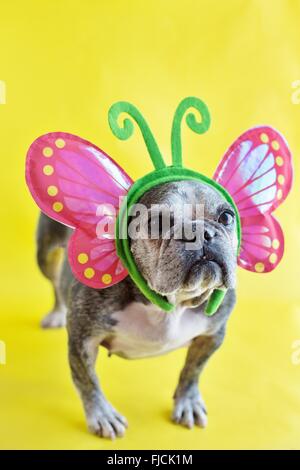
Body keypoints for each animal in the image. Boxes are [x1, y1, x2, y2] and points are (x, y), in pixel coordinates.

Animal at [35, 179, 237, 436]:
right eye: (157, 222)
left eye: (226, 216)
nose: (201, 232)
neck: (171, 303)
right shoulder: (83, 338)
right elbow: (87, 379)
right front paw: (102, 414)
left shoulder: (212, 335)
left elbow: (193, 370)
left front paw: (187, 401)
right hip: (46, 254)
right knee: (54, 280)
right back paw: (57, 312)